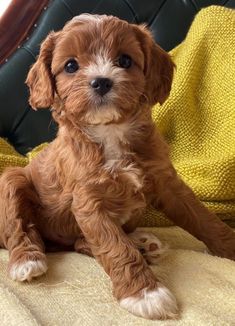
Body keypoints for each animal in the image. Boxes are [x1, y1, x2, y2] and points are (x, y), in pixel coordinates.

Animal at [0, 14, 235, 320]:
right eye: (71, 66)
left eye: (124, 60)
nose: (101, 82)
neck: (110, 132)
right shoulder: (89, 203)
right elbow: (113, 246)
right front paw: (145, 294)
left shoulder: (166, 181)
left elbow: (203, 218)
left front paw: (230, 247)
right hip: (12, 180)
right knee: (22, 228)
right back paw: (27, 259)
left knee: (80, 243)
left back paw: (143, 243)